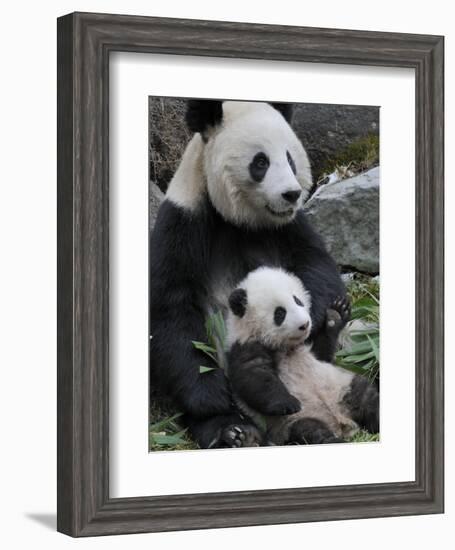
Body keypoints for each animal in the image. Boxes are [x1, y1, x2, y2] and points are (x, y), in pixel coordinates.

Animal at [151, 101, 348, 450]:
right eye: (261, 162)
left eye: (290, 157)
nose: (291, 194)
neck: (240, 220)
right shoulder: (184, 220)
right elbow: (172, 308)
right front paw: (212, 398)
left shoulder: (289, 226)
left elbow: (317, 263)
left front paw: (316, 319)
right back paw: (233, 432)